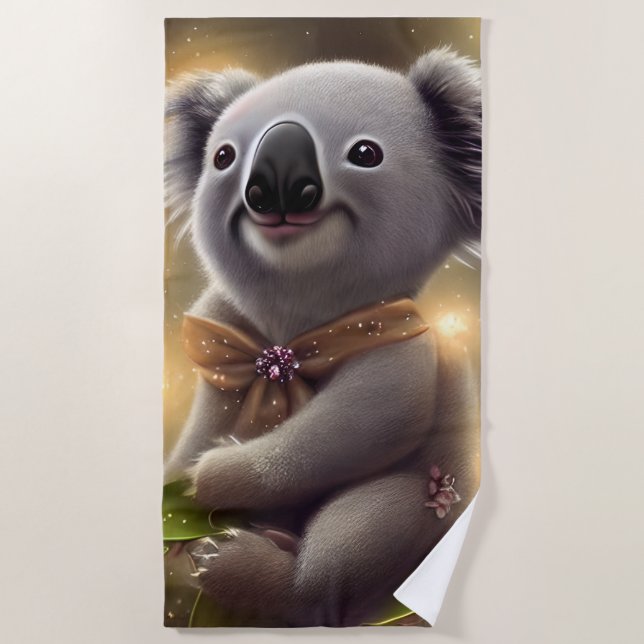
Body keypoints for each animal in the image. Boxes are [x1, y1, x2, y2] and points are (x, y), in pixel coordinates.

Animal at [163, 47, 481, 627]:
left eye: (366, 153)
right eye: (224, 156)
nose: (276, 181)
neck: (296, 327)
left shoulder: (398, 347)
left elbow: (354, 427)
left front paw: (210, 476)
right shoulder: (221, 332)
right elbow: (203, 423)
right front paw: (176, 495)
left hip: (415, 508)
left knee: (348, 547)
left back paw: (234, 564)